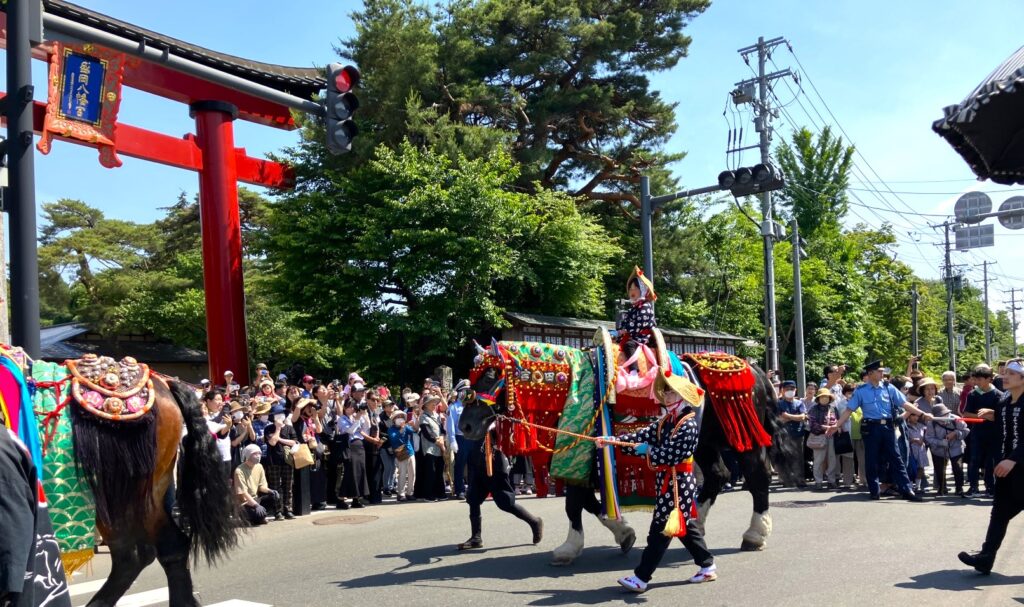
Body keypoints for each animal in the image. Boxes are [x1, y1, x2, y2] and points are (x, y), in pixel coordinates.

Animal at [460, 329, 794, 565]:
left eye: (489, 375)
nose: (465, 426)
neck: (574, 388)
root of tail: (756, 370)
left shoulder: (581, 456)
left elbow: (574, 503)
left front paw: (569, 547)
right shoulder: (587, 458)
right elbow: (588, 502)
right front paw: (623, 533)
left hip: (741, 438)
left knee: (756, 475)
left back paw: (754, 534)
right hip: (703, 441)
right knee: (717, 475)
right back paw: (695, 522)